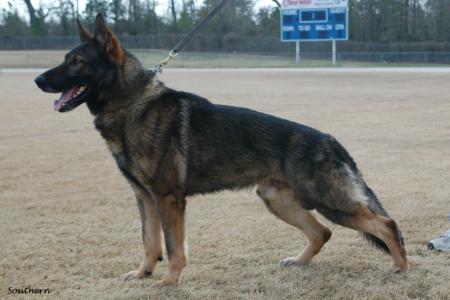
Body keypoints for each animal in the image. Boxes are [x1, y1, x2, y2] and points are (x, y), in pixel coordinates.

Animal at [35, 13, 408, 286]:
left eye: (76, 62)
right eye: (66, 59)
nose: (38, 80)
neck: (131, 102)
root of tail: (329, 139)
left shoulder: (168, 199)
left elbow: (172, 247)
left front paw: (168, 282)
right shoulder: (145, 199)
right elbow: (149, 242)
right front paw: (143, 274)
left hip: (328, 201)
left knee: (385, 224)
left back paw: (400, 269)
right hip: (278, 200)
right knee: (323, 232)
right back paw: (299, 262)